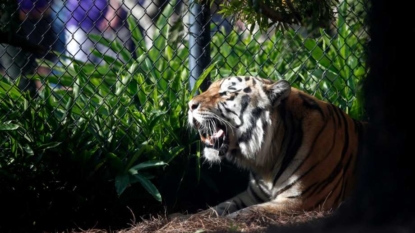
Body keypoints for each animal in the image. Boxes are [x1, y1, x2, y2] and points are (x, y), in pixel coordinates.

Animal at [188, 75, 368, 218]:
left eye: (226, 93)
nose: (189, 105)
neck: (266, 162)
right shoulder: (250, 196)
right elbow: (218, 207)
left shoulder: (301, 200)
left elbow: (244, 213)